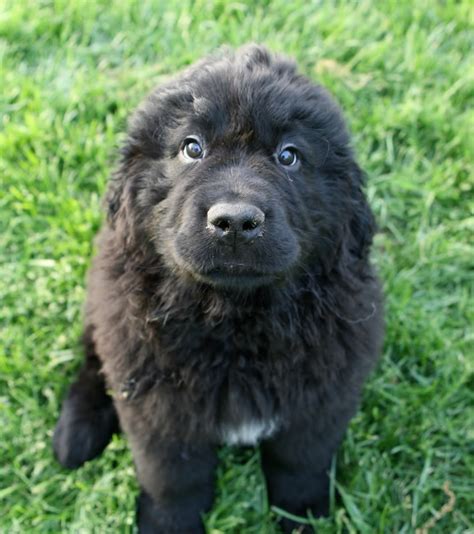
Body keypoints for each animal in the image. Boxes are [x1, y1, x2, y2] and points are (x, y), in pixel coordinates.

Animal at [52, 47, 386, 534]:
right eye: (192, 148)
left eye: (289, 156)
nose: (235, 221)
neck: (234, 322)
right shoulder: (157, 405)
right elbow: (172, 476)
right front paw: (168, 524)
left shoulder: (322, 395)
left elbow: (300, 462)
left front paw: (302, 516)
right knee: (94, 360)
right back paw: (75, 435)